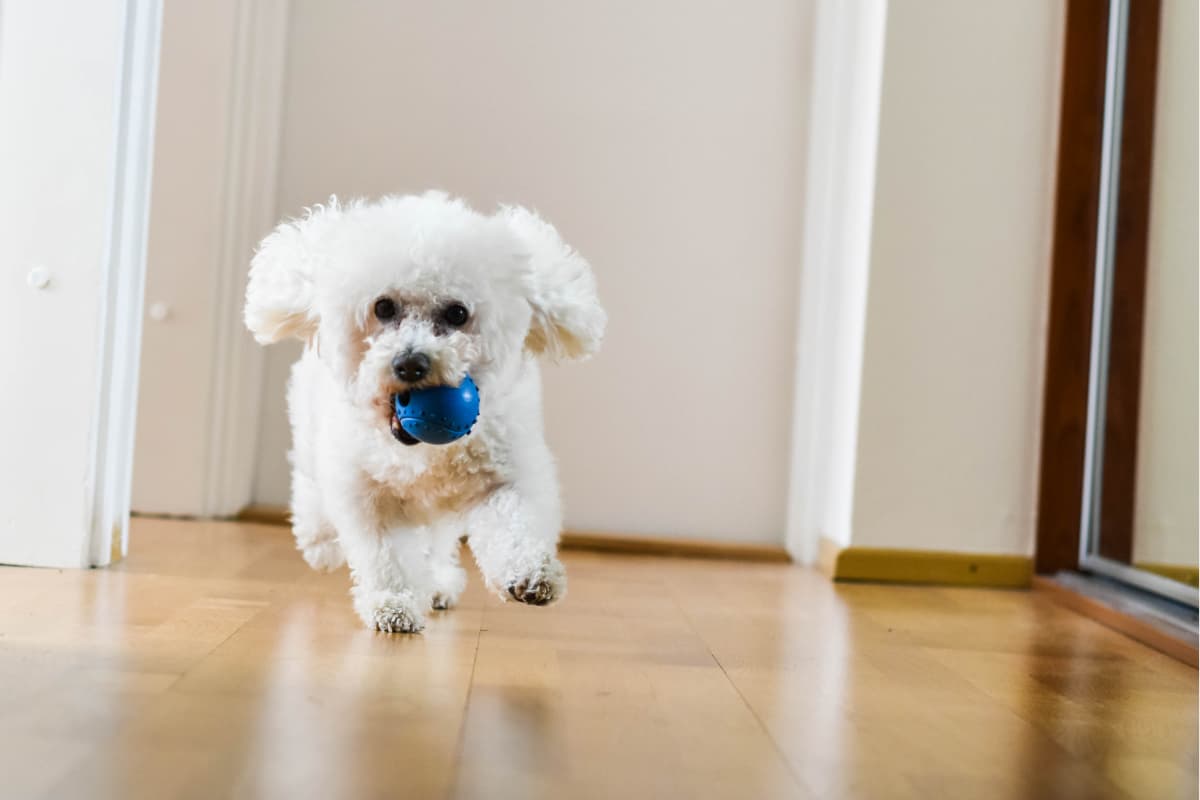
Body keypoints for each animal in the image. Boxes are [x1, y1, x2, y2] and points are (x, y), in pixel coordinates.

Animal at [242, 191, 604, 633]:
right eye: (383, 307)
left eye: (457, 313)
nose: (411, 364)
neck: (421, 452)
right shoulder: (369, 493)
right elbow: (386, 556)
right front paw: (392, 603)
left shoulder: (504, 475)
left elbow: (515, 522)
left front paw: (530, 575)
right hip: (312, 434)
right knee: (311, 487)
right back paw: (320, 540)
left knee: (434, 544)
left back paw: (437, 583)